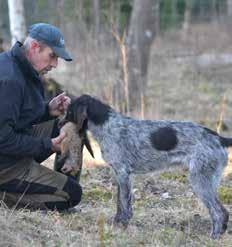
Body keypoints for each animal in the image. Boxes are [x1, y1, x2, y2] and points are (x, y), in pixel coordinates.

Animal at [63, 94, 230, 239]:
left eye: (69, 111)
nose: (59, 123)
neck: (107, 124)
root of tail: (219, 138)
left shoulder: (122, 173)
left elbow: (123, 203)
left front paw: (122, 225)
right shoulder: (123, 176)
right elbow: (121, 203)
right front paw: (118, 222)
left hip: (199, 181)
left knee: (218, 212)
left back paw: (214, 237)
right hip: (209, 181)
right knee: (223, 212)